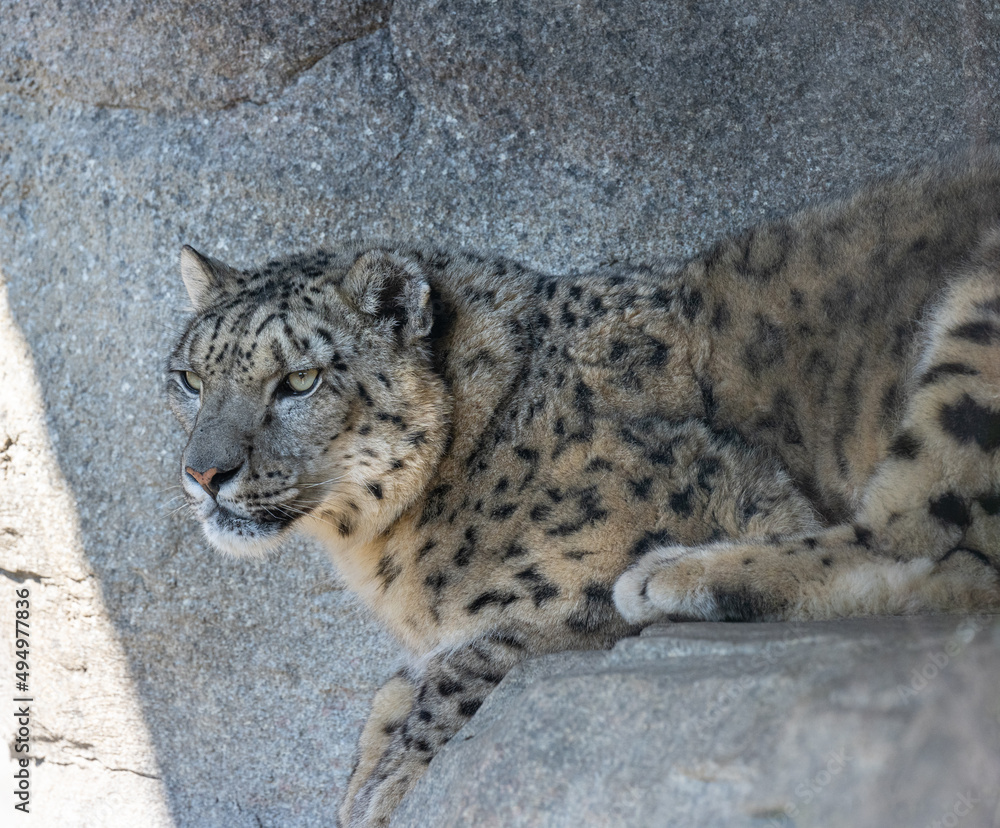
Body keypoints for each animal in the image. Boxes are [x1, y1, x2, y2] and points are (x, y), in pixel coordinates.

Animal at [166, 146, 1000, 827]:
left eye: (300, 380)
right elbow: (401, 681)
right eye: (189, 379)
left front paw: (387, 780)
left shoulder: (710, 506)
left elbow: (494, 644)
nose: (204, 473)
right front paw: (372, 756)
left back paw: (676, 578)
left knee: (934, 543)